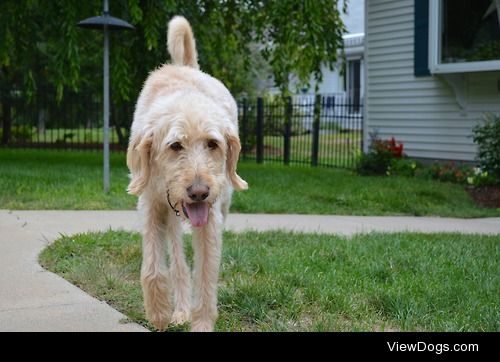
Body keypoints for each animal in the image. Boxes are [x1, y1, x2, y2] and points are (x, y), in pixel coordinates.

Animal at [127, 15, 248, 332]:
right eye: (175, 145)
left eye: (212, 144)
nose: (199, 192)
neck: (183, 95)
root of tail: (188, 68)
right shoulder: (150, 205)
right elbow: (153, 267)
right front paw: (158, 313)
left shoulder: (210, 220)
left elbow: (205, 275)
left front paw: (201, 322)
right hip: (170, 218)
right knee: (178, 263)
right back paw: (178, 310)